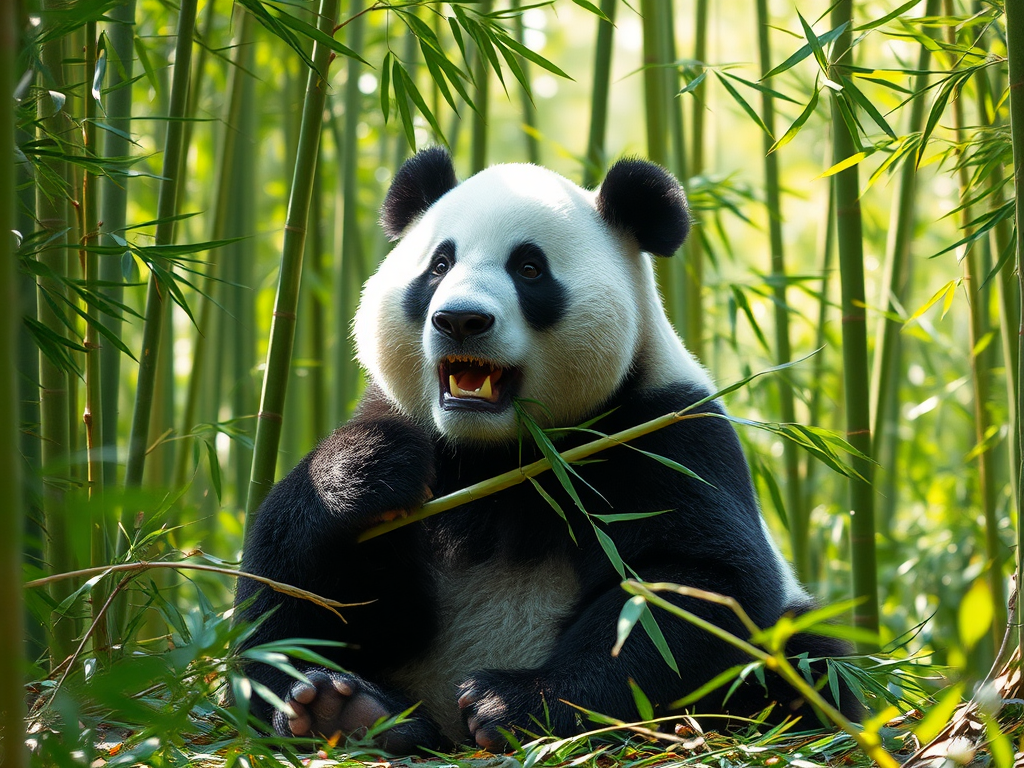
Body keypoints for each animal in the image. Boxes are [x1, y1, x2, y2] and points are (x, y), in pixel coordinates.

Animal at [235, 147, 858, 754]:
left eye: (529, 268)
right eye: (439, 265)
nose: (460, 319)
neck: (498, 450)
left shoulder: (664, 432)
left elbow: (694, 586)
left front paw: (511, 703)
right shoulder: (403, 423)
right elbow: (300, 593)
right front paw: (366, 469)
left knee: (809, 662)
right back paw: (345, 710)